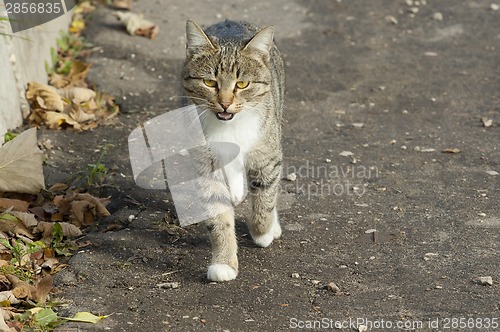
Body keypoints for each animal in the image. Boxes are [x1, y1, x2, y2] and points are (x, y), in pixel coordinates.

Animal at [182, 19, 286, 282]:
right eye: (210, 82)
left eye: (242, 84)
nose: (225, 103)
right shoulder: (206, 167)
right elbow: (219, 217)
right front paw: (224, 263)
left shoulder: (266, 157)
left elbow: (265, 199)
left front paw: (263, 231)